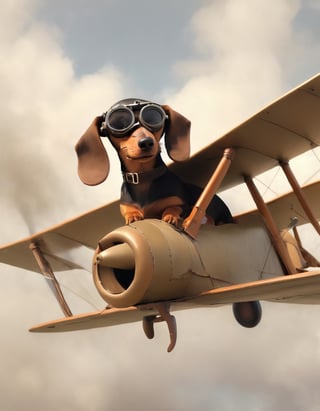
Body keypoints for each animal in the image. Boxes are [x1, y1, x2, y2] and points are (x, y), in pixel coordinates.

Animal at [75, 100, 232, 229]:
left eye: (153, 119)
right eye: (120, 123)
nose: (146, 142)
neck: (143, 177)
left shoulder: (183, 204)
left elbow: (175, 207)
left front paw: (170, 216)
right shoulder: (127, 206)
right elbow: (129, 211)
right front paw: (133, 216)